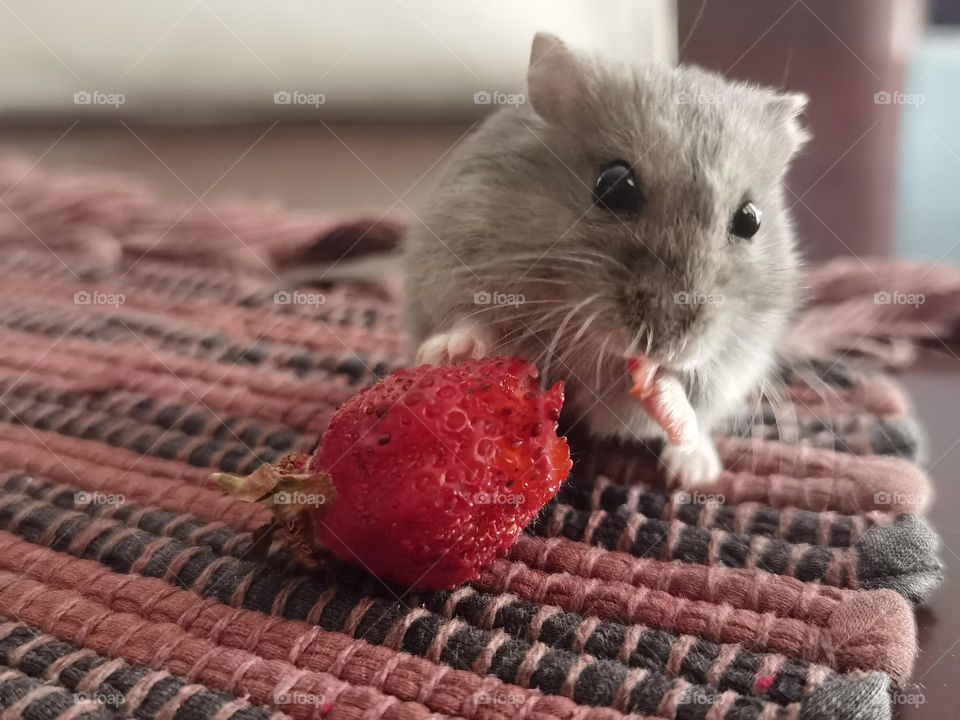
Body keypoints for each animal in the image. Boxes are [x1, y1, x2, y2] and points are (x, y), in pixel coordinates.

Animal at [403, 33, 808, 488]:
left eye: (750, 220)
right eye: (613, 185)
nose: (664, 346)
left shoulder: (731, 359)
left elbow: (673, 391)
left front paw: (677, 419)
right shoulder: (459, 259)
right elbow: (476, 320)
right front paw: (445, 353)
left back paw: (694, 471)